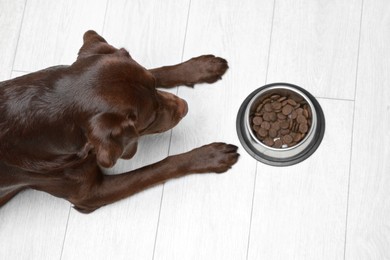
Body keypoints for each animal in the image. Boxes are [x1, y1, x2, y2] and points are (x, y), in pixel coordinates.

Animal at [0, 31, 239, 213]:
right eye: (151, 119)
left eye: (154, 86)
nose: (185, 106)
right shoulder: (90, 195)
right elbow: (158, 168)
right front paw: (210, 155)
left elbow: (157, 70)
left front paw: (201, 67)